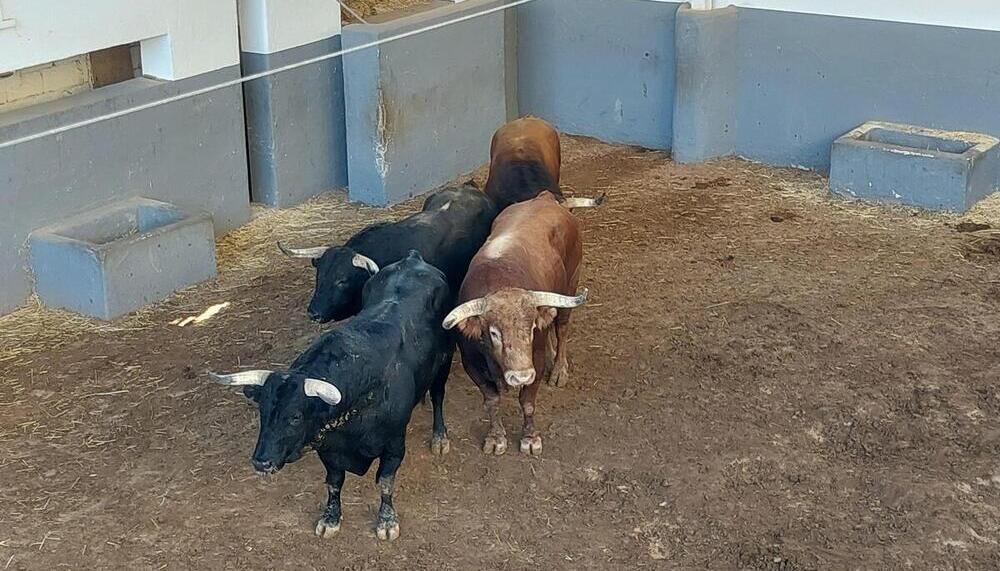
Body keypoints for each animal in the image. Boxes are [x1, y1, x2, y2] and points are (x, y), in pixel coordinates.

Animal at [444, 191, 584, 456]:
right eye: (493, 333)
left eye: (530, 329)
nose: (520, 376)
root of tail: (546, 197)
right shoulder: (472, 364)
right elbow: (491, 401)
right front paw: (496, 437)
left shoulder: (534, 361)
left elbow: (527, 402)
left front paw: (530, 439)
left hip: (571, 283)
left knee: (562, 328)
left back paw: (559, 370)